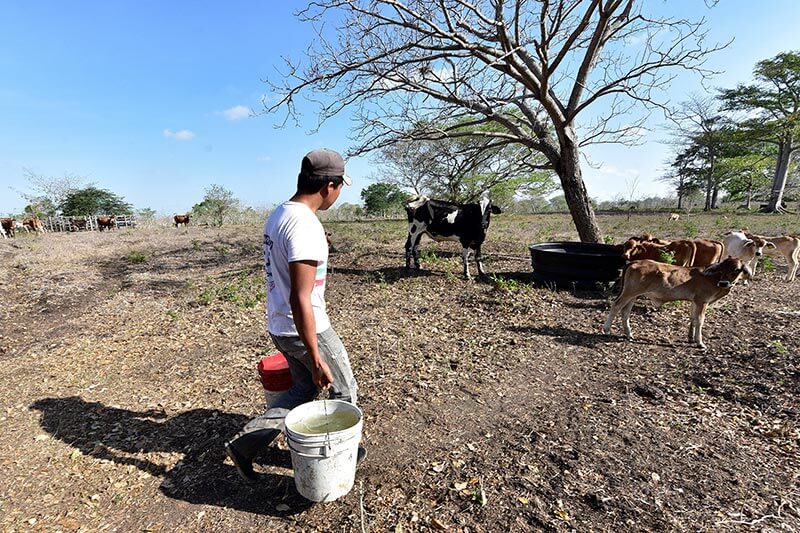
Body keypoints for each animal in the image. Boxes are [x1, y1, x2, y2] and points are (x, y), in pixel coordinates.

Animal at [604, 256, 752, 350]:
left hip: (633, 295)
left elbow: (693, 318)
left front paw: (691, 338)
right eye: (721, 268)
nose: (723, 283)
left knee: (625, 311)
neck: (713, 279)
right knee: (616, 305)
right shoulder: (702, 301)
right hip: (629, 292)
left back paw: (629, 334)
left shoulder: (695, 301)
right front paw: (700, 343)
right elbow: (700, 320)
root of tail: (636, 261)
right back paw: (607, 329)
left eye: (737, 269)